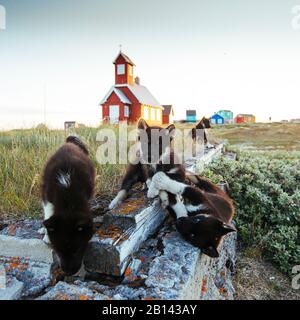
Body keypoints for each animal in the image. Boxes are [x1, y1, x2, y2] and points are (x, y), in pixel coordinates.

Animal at [41, 135, 95, 276]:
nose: (68, 273)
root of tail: (69, 143)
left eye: (76, 250)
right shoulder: (47, 194)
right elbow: (48, 213)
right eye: (58, 250)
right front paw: (46, 234)